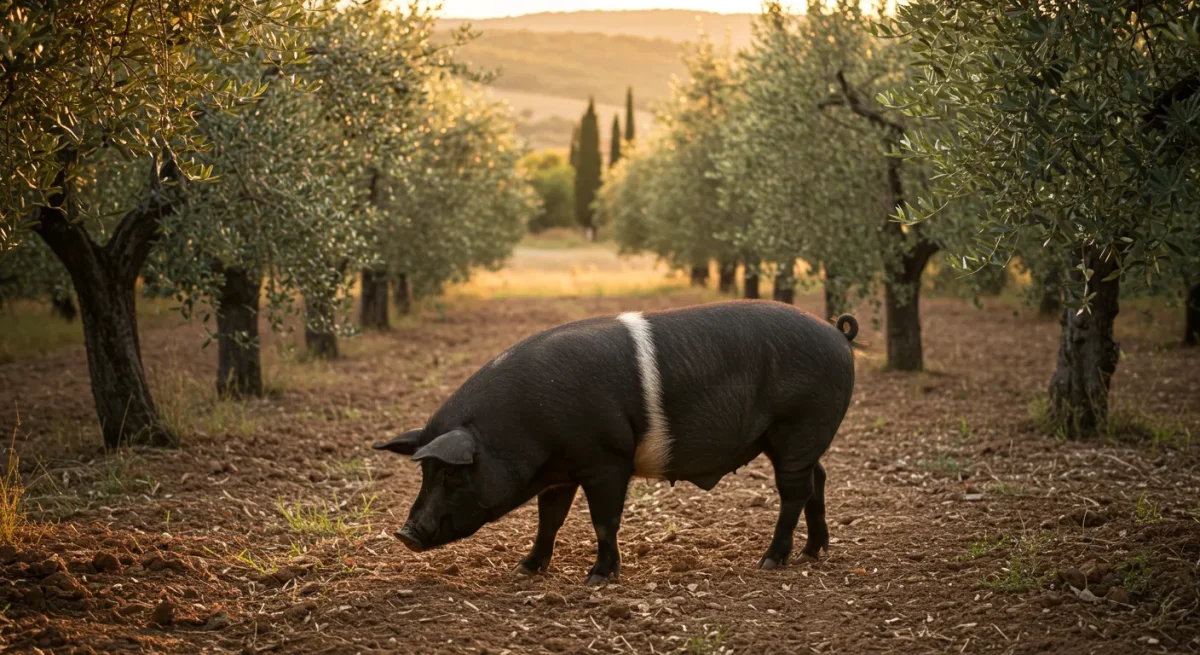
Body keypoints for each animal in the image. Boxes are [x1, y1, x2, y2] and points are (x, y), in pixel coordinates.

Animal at [373, 299, 860, 584]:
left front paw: (597, 579)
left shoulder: (607, 461)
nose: (405, 533)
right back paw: (813, 552)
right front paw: (525, 569)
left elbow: (603, 521)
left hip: (799, 424)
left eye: (453, 475)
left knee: (794, 490)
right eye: (425, 472)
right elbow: (549, 520)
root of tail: (838, 333)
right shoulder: (560, 472)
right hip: (796, 438)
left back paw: (770, 561)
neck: (523, 429)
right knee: (818, 479)